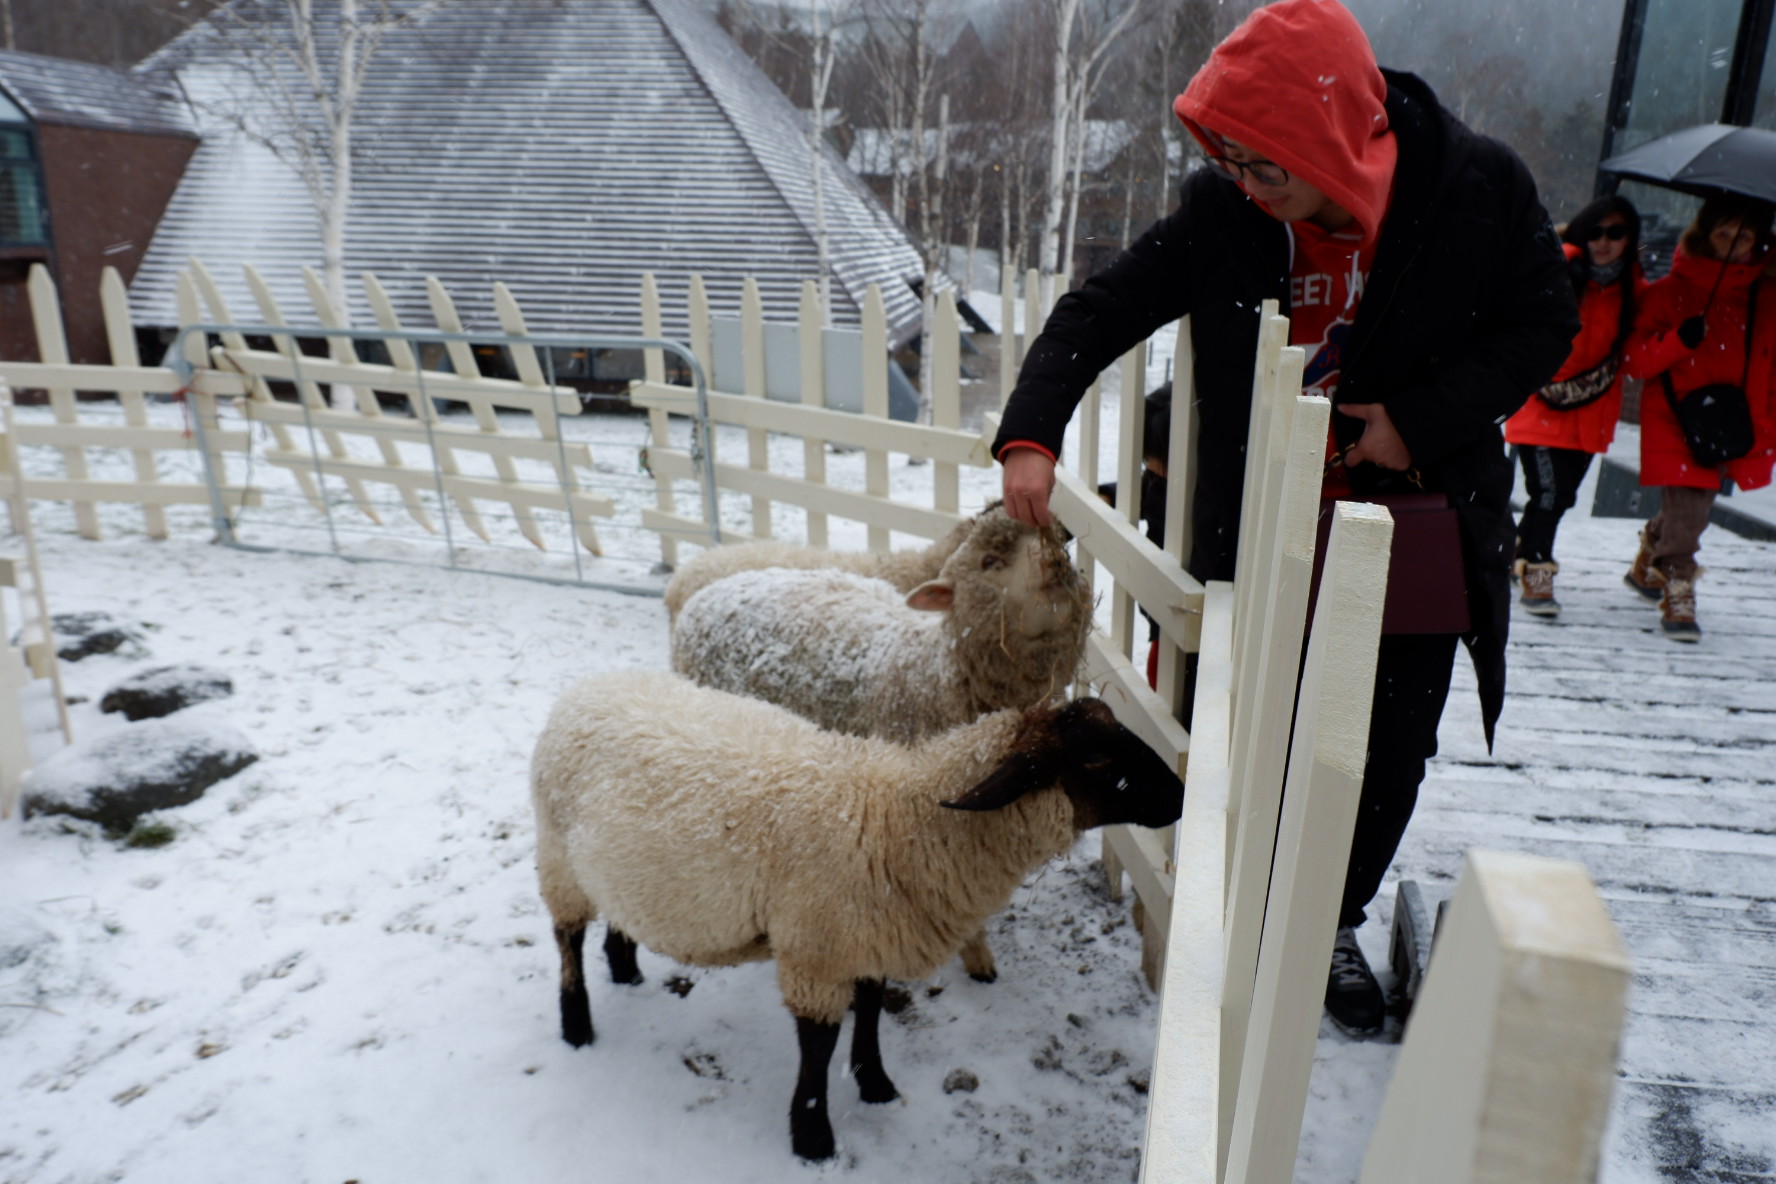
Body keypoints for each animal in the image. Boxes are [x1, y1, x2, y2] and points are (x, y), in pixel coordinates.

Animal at [532, 670, 1186, 1164]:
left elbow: (870, 1010)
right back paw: (576, 1025)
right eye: (1096, 758)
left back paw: (625, 970)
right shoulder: (816, 953)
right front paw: (813, 1137)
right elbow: (818, 1046)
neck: (899, 822)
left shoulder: (869, 935)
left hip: (618, 869)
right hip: (557, 854)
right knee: (567, 938)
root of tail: (586, 687)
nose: (1183, 794)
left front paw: (876, 1085)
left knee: (618, 918)